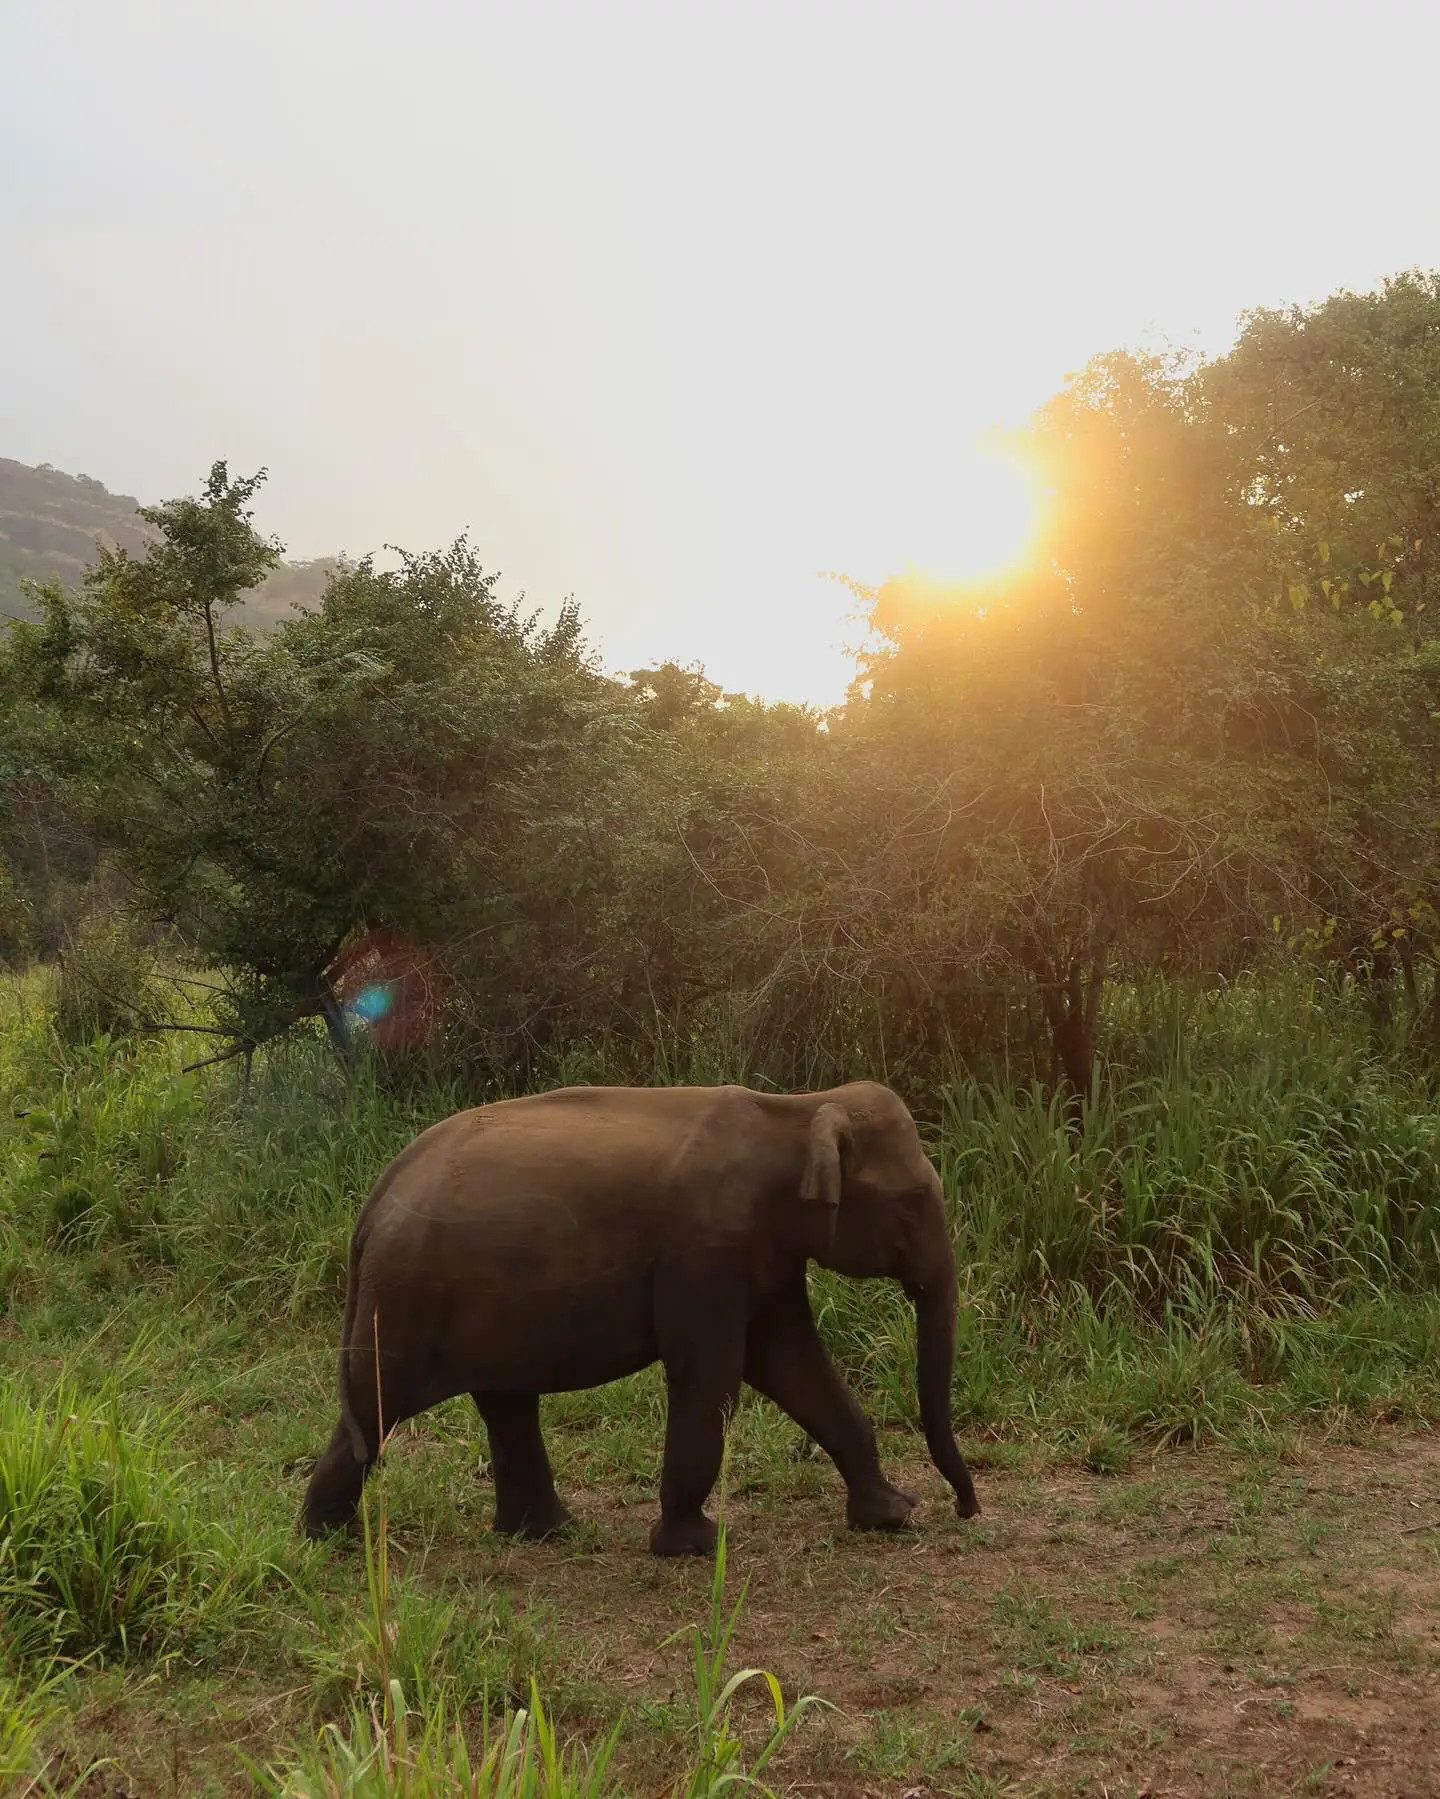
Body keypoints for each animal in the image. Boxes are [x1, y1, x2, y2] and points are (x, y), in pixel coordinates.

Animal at [302, 1072, 979, 1554]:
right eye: (912, 1201)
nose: (964, 1510)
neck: (796, 1110)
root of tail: (378, 1197)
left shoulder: (763, 1254)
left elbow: (792, 1363)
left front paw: (892, 1516)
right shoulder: (705, 1250)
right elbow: (712, 1372)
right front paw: (695, 1546)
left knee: (501, 1400)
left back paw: (545, 1533)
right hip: (409, 1295)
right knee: (379, 1400)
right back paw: (329, 1541)